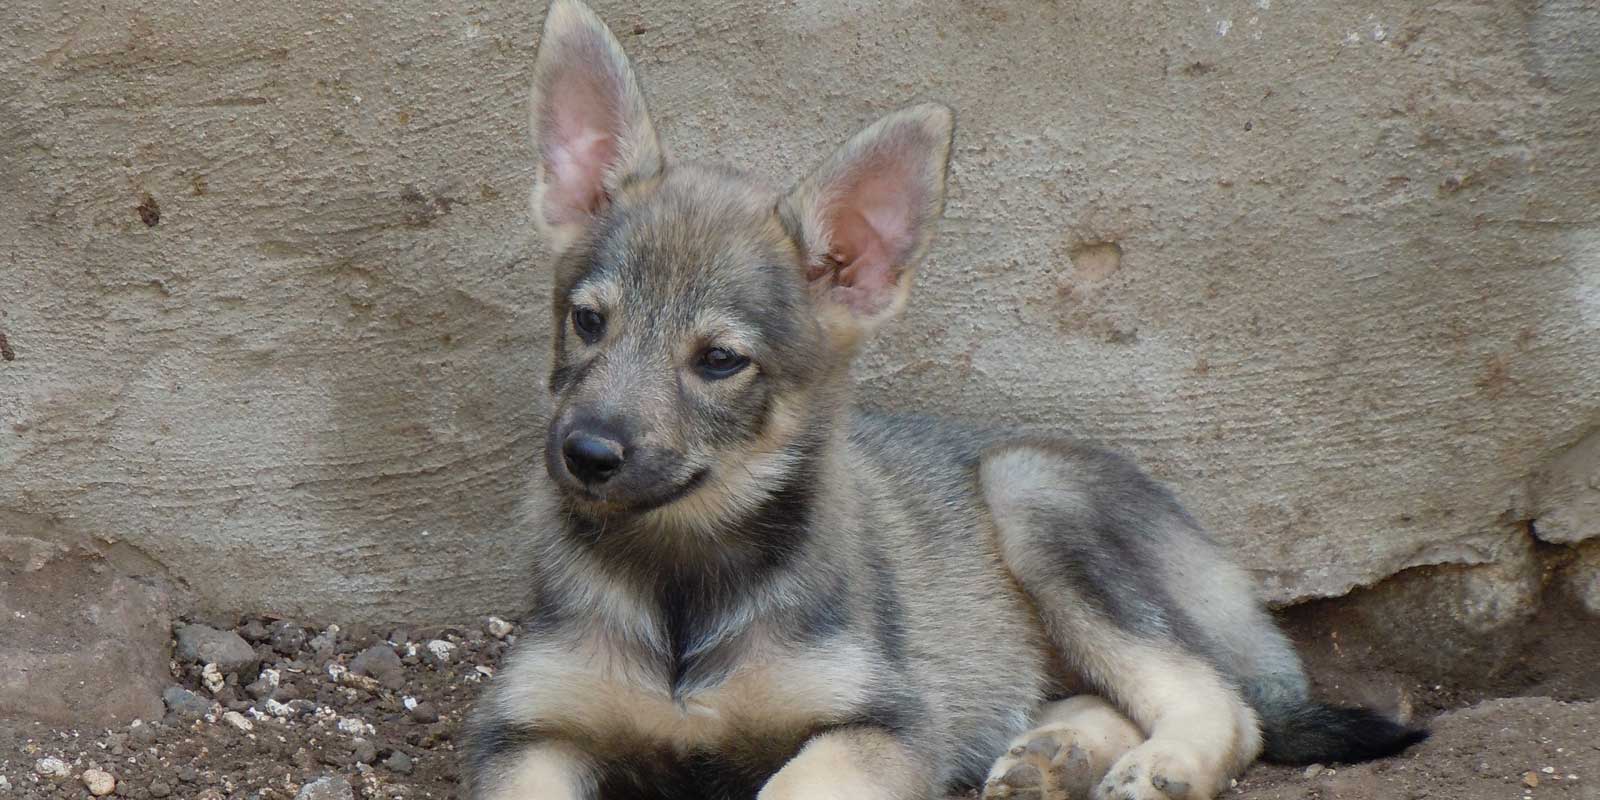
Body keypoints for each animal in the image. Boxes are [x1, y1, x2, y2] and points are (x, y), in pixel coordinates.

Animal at [464, 3, 1427, 796]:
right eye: (589, 321)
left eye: (720, 361)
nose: (584, 455)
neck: (679, 581)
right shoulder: (527, 733)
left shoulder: (885, 722)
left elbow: (796, 782)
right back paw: (1054, 757)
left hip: (1035, 495)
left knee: (1225, 702)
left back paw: (1164, 766)